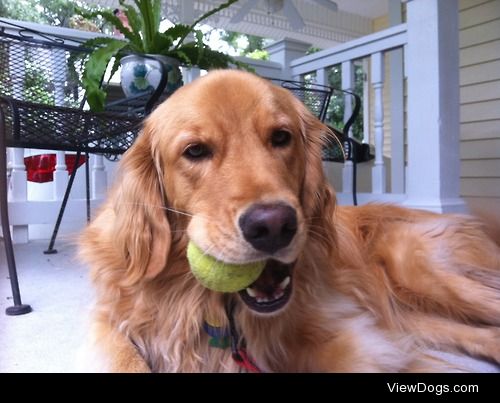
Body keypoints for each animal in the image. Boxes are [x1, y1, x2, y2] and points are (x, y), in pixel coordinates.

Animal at [78, 68, 500, 372]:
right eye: (195, 151)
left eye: (281, 137)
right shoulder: (110, 322)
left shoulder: (356, 337)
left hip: (421, 269)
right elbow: (127, 360)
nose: (273, 226)